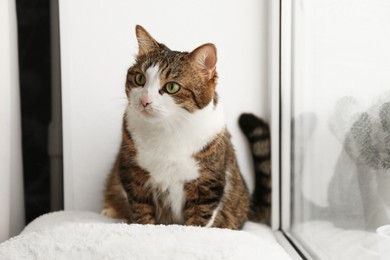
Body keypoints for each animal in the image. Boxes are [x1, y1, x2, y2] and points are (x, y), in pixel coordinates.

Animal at [102, 25, 270, 229]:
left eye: (172, 87)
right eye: (140, 78)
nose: (144, 101)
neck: (167, 130)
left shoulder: (207, 184)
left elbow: (198, 219)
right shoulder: (134, 175)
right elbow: (141, 210)